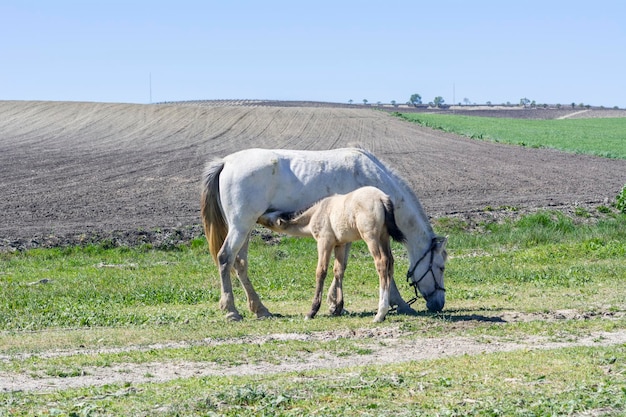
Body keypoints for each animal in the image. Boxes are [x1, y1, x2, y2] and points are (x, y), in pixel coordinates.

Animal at [258, 186, 408, 322]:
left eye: (270, 218)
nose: (258, 216)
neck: (317, 212)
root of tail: (382, 198)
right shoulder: (340, 244)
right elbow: (338, 271)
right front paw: (338, 308)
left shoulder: (324, 242)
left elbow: (321, 271)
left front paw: (312, 312)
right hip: (384, 237)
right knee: (390, 262)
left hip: (371, 237)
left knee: (381, 263)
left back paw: (380, 313)